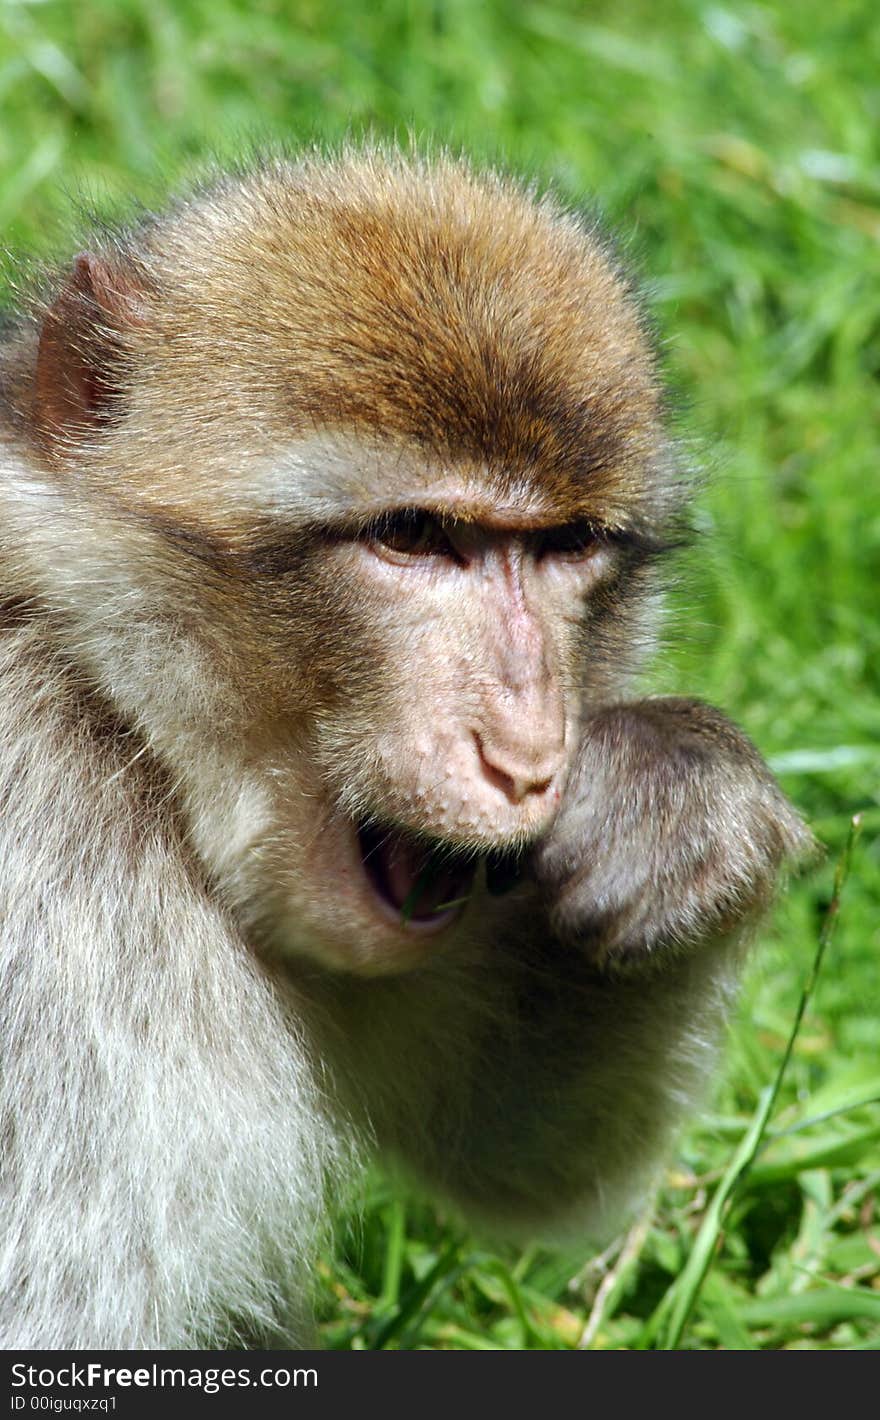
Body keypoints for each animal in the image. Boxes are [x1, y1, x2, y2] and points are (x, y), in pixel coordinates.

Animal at [0, 149, 811, 1346]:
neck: (105, 703)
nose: (525, 750)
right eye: (413, 535)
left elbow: (512, 1150)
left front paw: (685, 799)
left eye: (564, 544)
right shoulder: (55, 917)